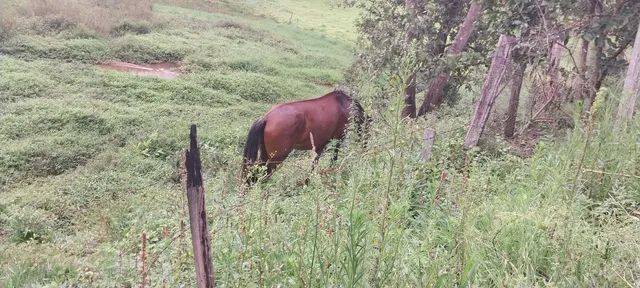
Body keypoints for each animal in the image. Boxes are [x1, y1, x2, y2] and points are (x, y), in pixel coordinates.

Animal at [241, 89, 370, 184]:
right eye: (367, 131)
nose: (364, 150)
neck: (344, 103)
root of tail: (267, 117)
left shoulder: (320, 144)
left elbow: (314, 162)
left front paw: (308, 181)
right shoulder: (338, 139)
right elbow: (333, 158)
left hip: (265, 155)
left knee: (256, 174)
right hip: (276, 158)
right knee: (262, 175)